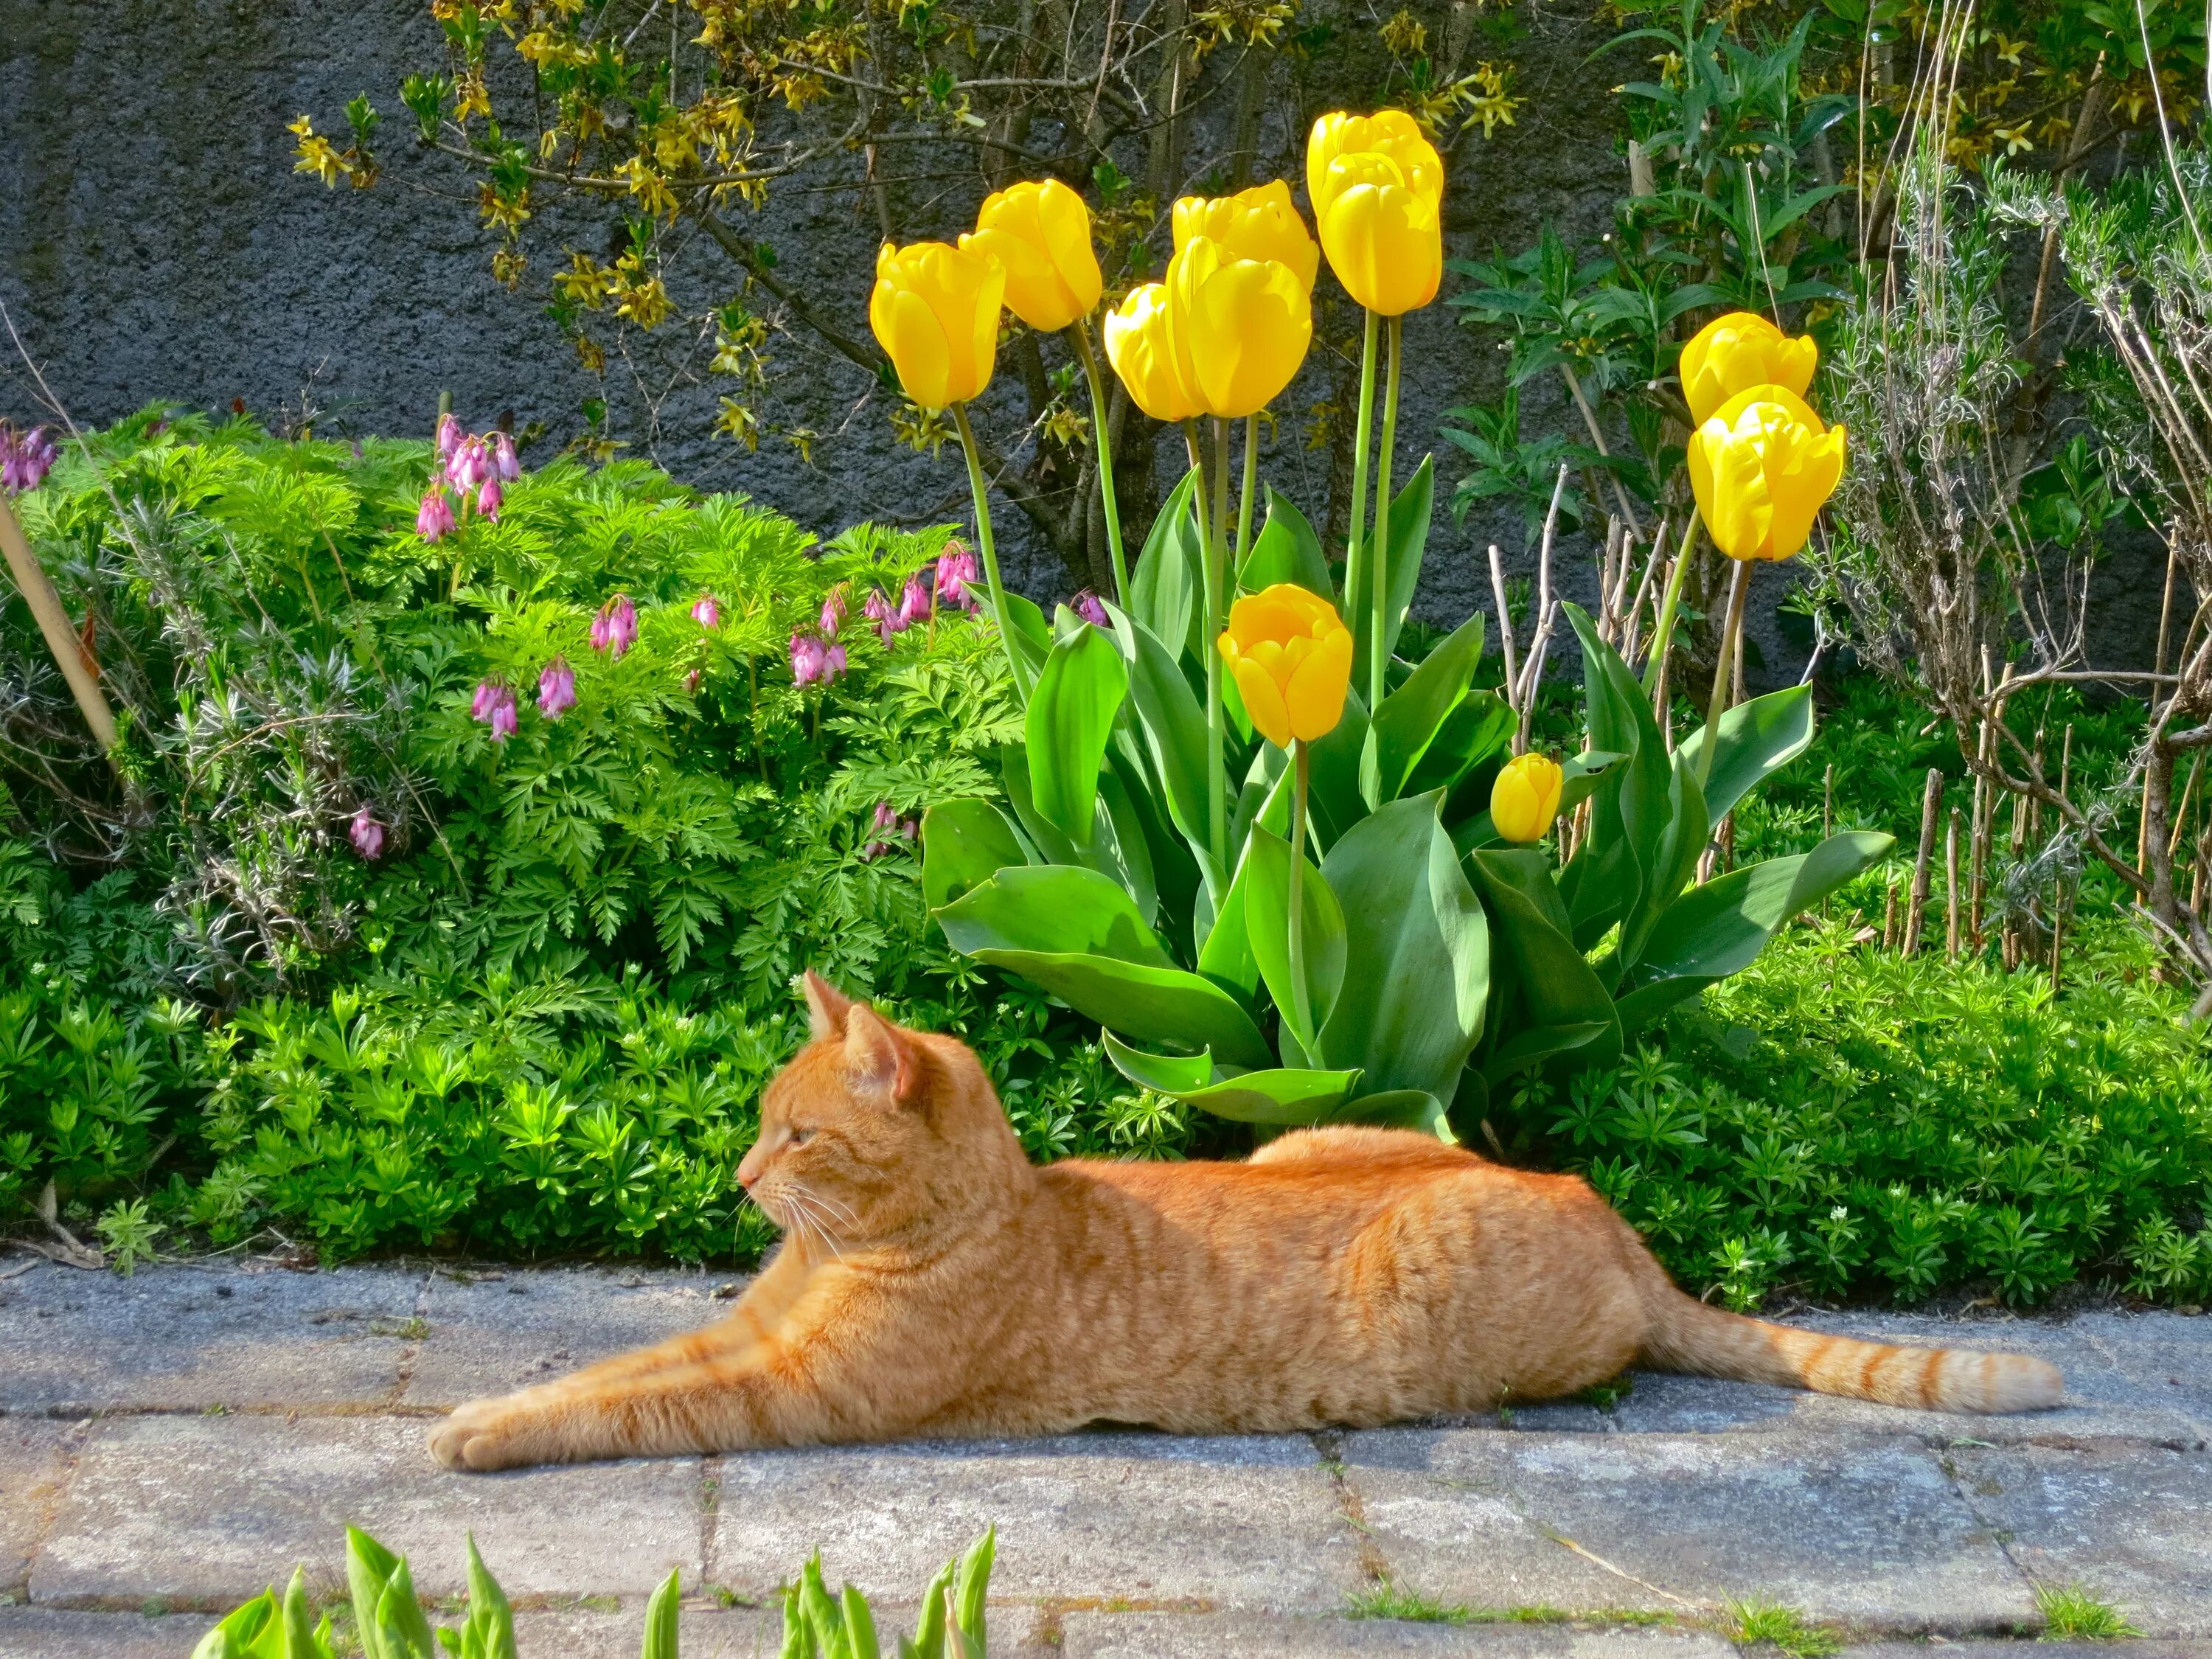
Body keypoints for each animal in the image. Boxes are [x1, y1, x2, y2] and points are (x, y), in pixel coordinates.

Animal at [427, 969, 2053, 1478]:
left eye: (801, 1134)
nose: (741, 1184)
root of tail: (1610, 1217)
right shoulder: (748, 1340)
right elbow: (609, 1373)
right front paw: (472, 1411)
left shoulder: (792, 1391)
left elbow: (625, 1409)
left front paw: (479, 1438)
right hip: (1311, 1134)